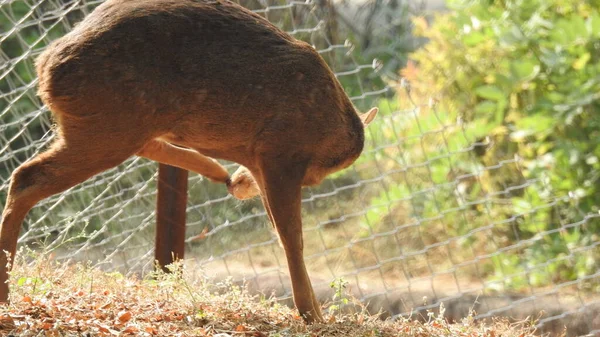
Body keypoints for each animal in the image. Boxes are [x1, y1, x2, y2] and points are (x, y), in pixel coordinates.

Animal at [0, 0, 376, 322]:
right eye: (315, 176)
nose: (237, 184)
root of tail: (45, 66)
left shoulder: (263, 159)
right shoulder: (280, 152)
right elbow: (291, 238)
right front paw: (313, 314)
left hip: (113, 124)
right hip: (106, 122)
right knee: (25, 177)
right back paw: (6, 294)